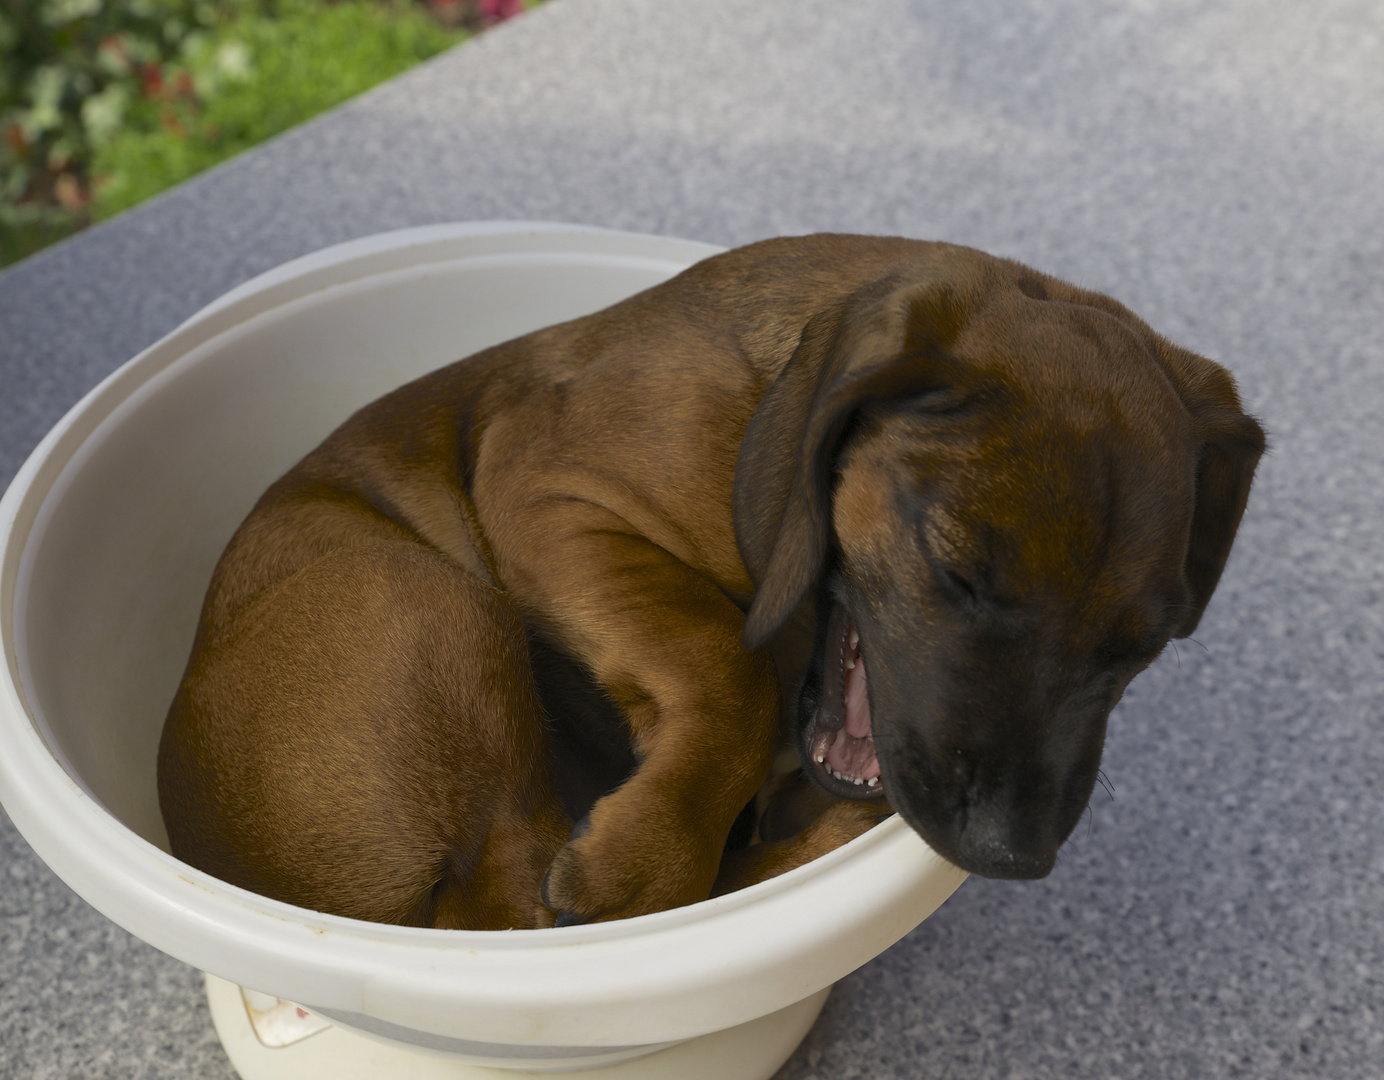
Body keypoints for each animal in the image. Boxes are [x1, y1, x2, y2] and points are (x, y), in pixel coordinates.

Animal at [159, 234, 1267, 930]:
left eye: (1142, 648)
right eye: (953, 571)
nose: (1008, 855)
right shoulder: (546, 490)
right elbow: (724, 667)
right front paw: (650, 851)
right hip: (428, 602)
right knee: (500, 897)